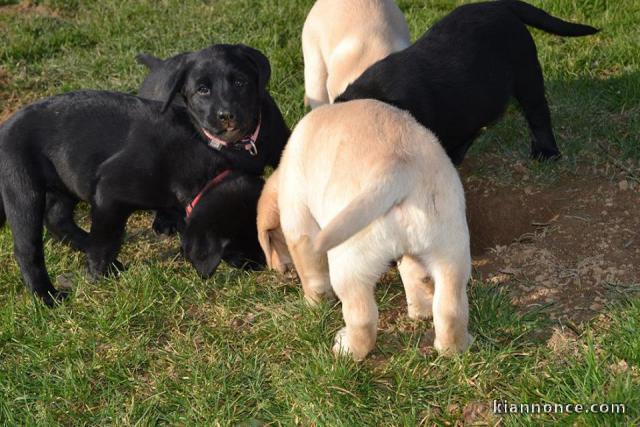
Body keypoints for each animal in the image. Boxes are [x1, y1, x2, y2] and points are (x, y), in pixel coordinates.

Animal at [0, 90, 264, 306]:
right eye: (237, 247)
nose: (261, 264)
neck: (201, 174)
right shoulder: (108, 194)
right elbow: (105, 240)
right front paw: (99, 274)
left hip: (64, 183)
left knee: (57, 220)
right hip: (22, 187)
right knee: (27, 249)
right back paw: (47, 296)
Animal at [139, 44, 292, 234]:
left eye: (239, 82)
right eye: (202, 90)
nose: (226, 115)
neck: (244, 143)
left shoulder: (281, 143)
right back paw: (165, 219)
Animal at [258, 99, 472, 362]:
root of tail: (398, 167)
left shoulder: (299, 224)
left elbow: (312, 273)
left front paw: (313, 304)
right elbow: (415, 274)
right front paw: (420, 308)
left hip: (350, 262)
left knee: (362, 318)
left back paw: (347, 349)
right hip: (450, 249)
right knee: (450, 308)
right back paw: (452, 346)